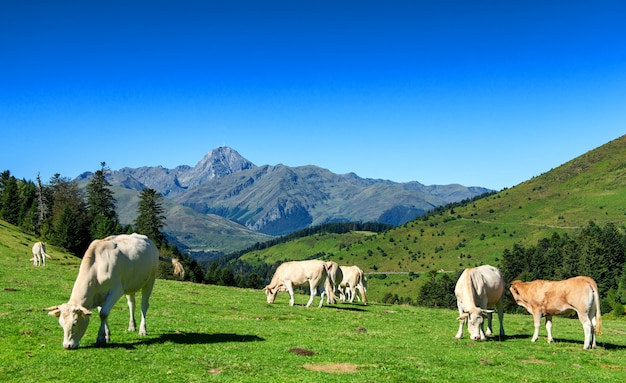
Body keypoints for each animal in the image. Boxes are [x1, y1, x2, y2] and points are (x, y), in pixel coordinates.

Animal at [43, 232, 184, 350]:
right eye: (61, 324)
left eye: (75, 323)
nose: (67, 345)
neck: (97, 266)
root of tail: (149, 241)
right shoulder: (100, 295)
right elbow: (103, 313)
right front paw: (107, 335)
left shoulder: (116, 291)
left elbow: (104, 313)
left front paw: (100, 338)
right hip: (130, 284)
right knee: (131, 304)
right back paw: (132, 326)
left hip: (150, 280)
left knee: (144, 305)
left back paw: (142, 329)